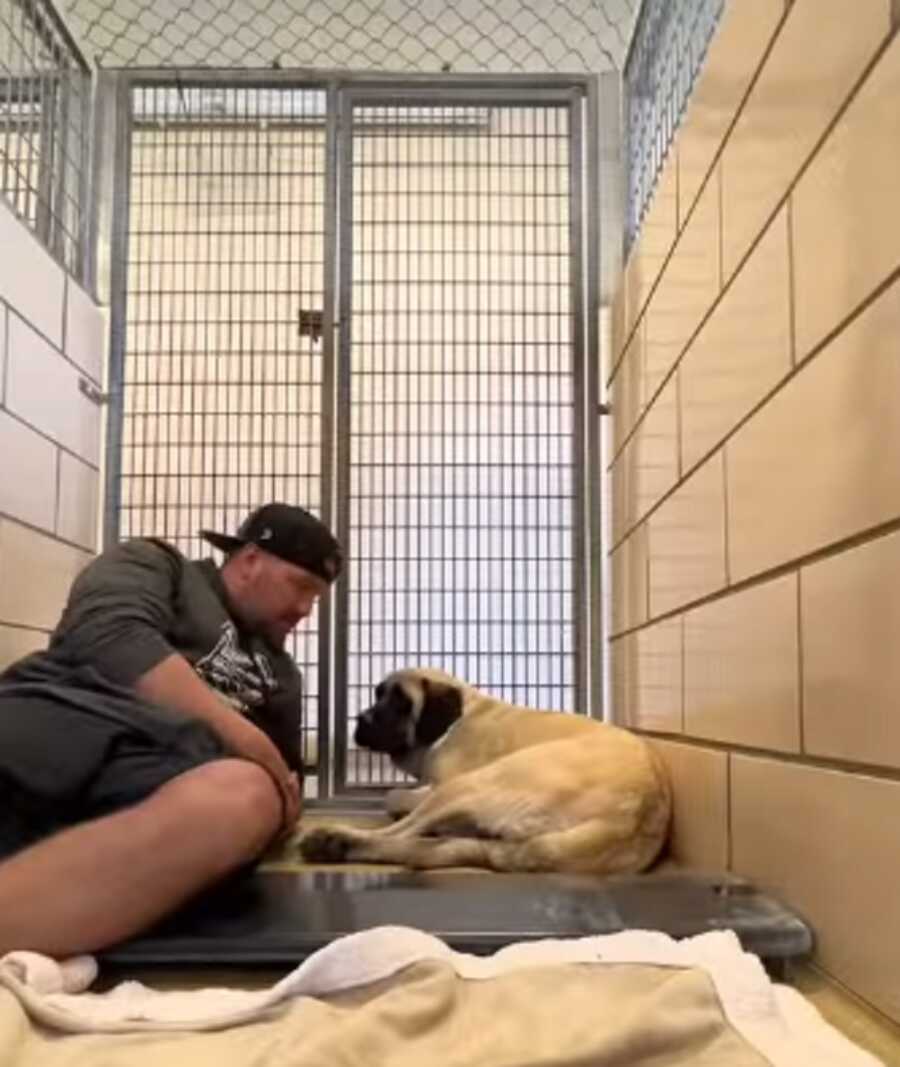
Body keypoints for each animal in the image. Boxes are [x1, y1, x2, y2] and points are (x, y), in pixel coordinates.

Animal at [298, 665, 670, 874]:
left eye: (401, 702)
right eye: (378, 694)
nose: (361, 720)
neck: (459, 717)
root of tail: (627, 821)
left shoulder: (442, 784)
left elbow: (395, 797)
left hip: (469, 785)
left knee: (400, 834)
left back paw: (335, 840)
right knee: (429, 844)